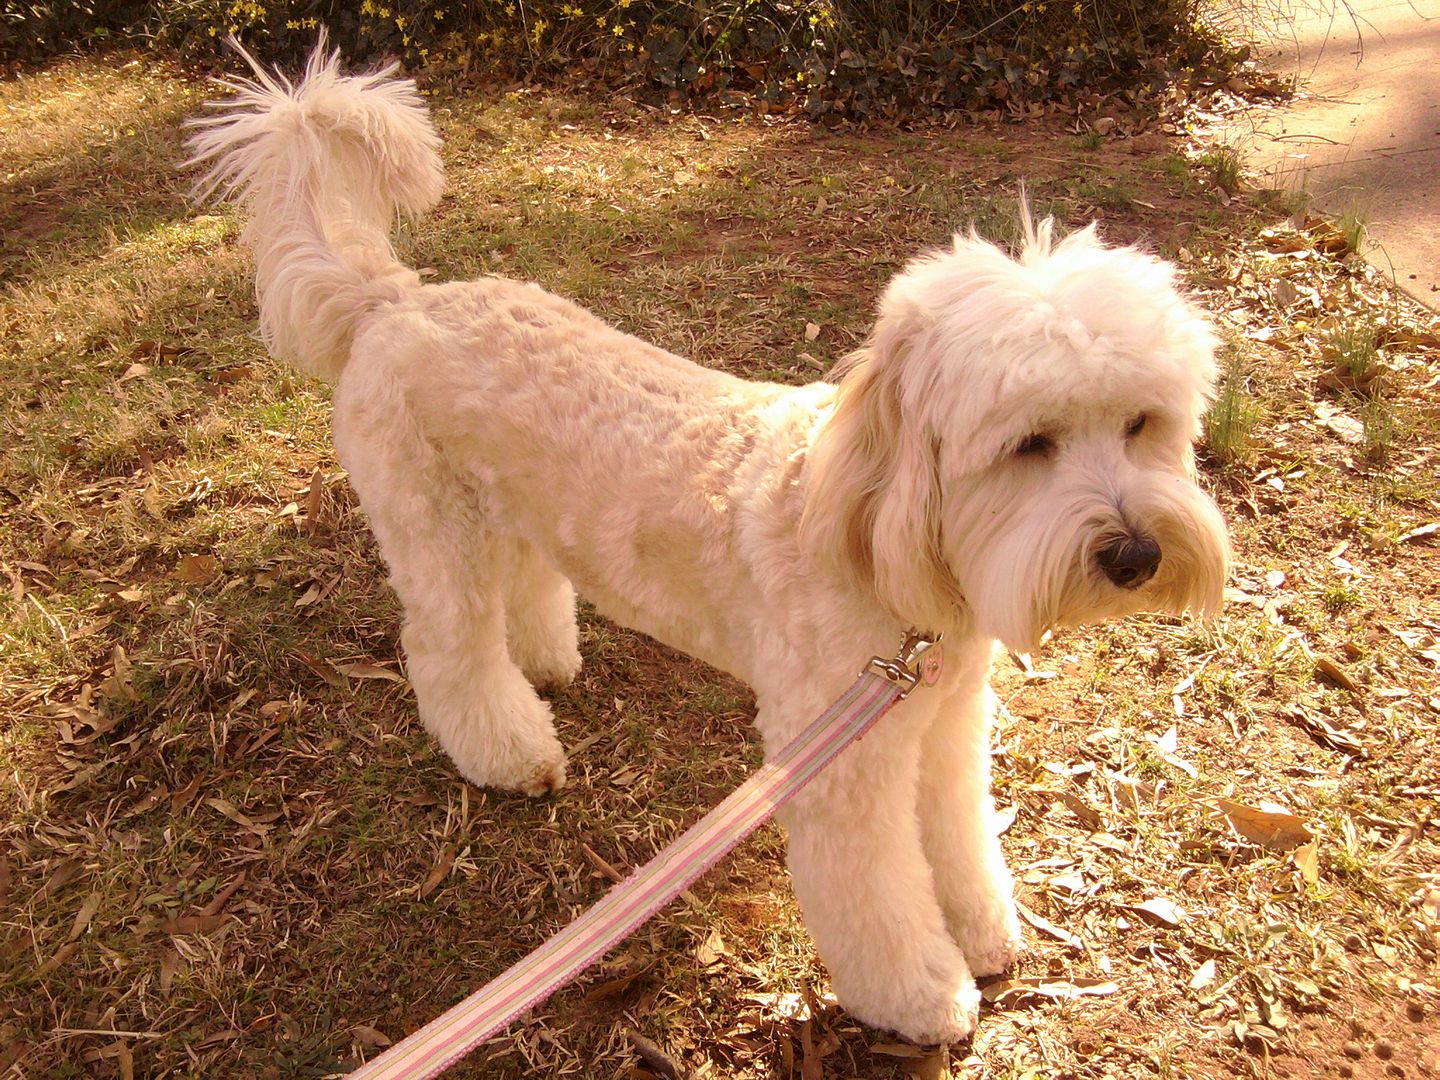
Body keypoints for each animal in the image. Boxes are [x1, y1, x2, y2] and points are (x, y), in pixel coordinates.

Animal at [188, 44, 1226, 1048]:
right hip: (436, 534)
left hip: (510, 510)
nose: (1137, 557)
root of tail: (393, 300)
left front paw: (983, 933)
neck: (881, 548)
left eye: (1141, 424)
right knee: (448, 653)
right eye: (1030, 445)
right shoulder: (842, 763)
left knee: (526, 587)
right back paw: (510, 748)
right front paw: (923, 998)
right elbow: (879, 901)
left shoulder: (942, 729)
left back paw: (546, 659)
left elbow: (961, 842)